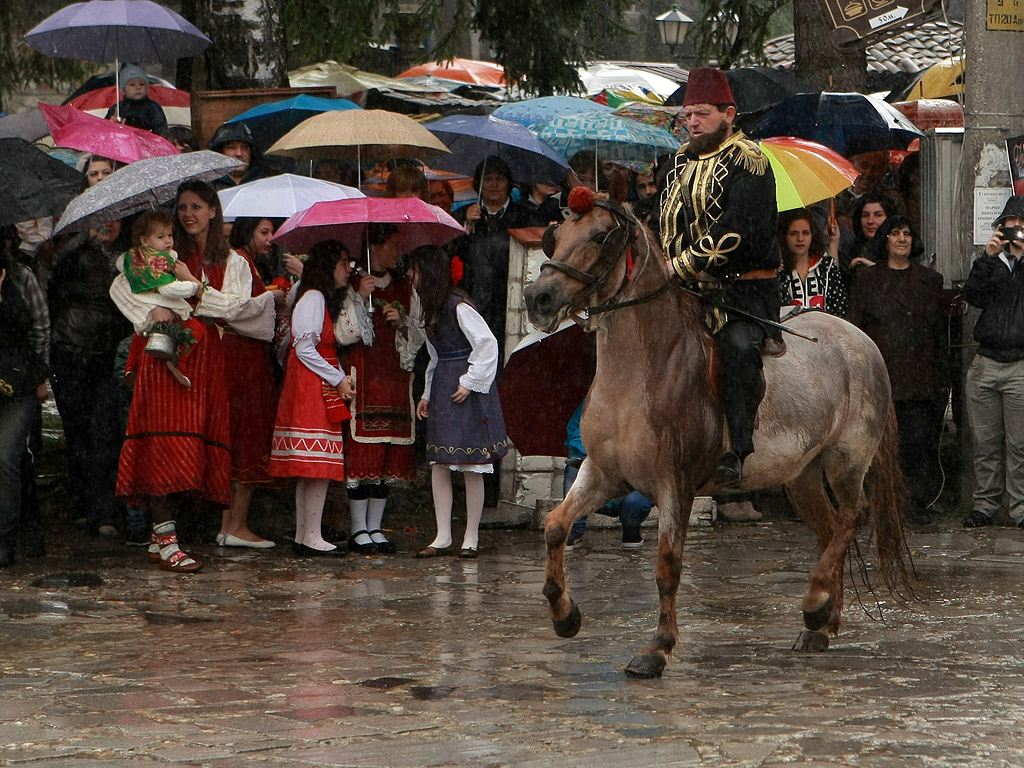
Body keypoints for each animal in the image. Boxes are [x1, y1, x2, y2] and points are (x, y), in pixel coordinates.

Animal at [524, 192, 909, 679]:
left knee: (853, 517)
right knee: (830, 531)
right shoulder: (604, 474)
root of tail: (862, 340)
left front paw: (657, 648)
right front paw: (565, 615)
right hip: (802, 476)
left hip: (847, 461)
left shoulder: (675, 484)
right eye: (555, 236)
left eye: (598, 236)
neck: (641, 370)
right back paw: (821, 621)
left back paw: (815, 601)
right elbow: (556, 526)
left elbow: (667, 565)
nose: (537, 297)